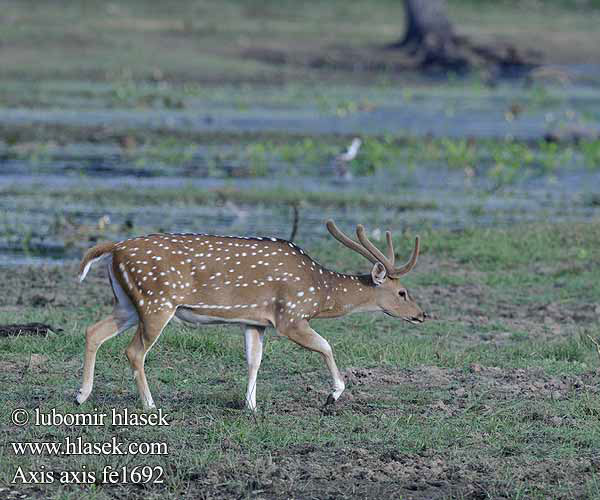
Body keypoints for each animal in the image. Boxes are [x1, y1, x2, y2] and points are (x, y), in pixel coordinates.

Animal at [75, 221, 424, 412]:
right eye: (402, 292)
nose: (422, 315)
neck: (319, 292)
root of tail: (114, 248)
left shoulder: (255, 321)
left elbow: (254, 360)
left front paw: (251, 405)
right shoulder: (290, 316)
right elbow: (326, 345)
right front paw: (333, 395)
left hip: (127, 304)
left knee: (93, 331)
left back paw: (81, 395)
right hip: (156, 303)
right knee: (134, 351)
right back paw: (149, 404)